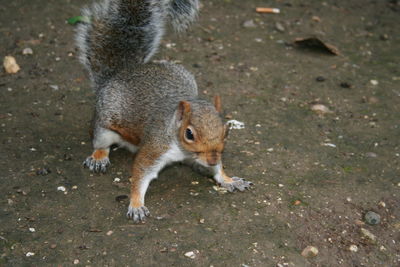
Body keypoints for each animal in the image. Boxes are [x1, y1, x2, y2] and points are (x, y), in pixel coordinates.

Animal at [75, 0, 252, 223]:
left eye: (225, 130)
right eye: (189, 134)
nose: (212, 158)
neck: (181, 148)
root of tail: (118, 75)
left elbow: (216, 170)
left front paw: (229, 180)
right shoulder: (155, 148)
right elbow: (141, 173)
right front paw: (136, 204)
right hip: (104, 126)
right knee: (100, 142)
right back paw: (99, 157)